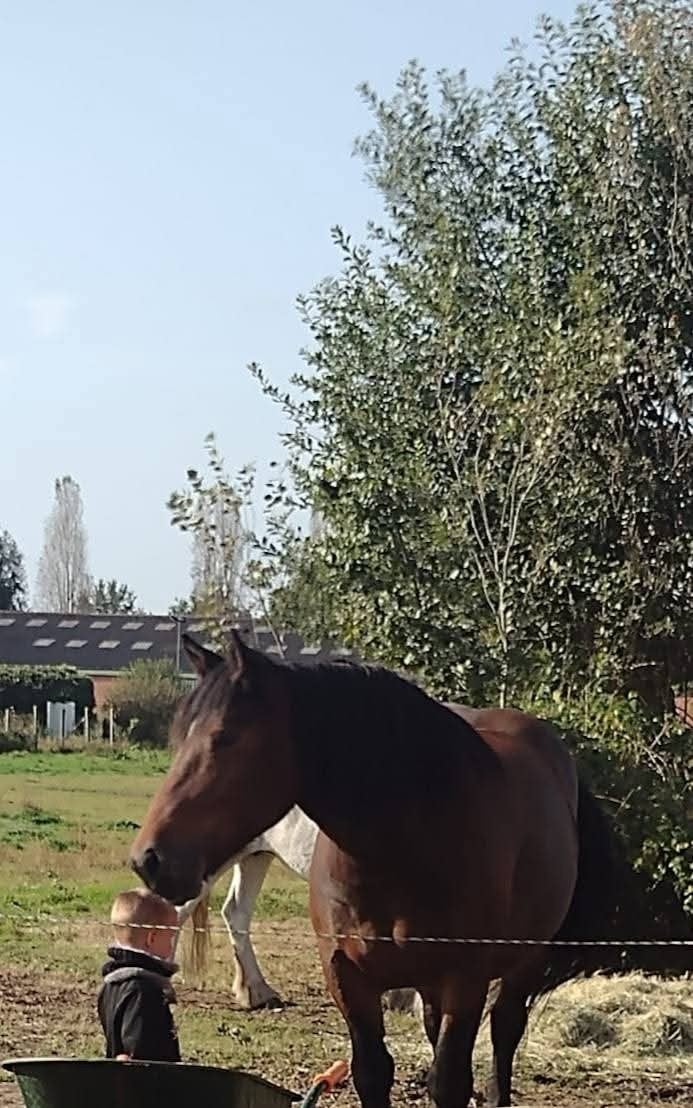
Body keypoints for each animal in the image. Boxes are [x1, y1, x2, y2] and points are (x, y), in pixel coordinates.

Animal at [130, 632, 621, 1108]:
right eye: (178, 738)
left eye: (226, 737)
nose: (148, 859)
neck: (404, 848)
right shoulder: (347, 976)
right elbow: (371, 1072)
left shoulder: (463, 980)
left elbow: (449, 1081)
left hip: (523, 960)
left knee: (504, 1028)